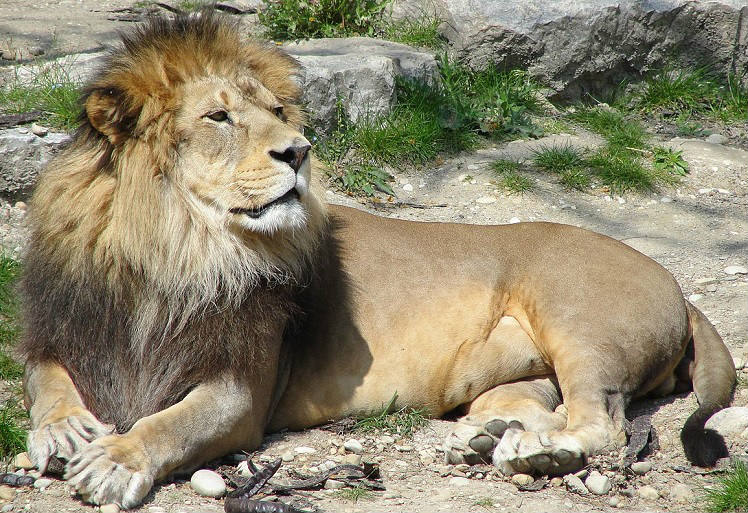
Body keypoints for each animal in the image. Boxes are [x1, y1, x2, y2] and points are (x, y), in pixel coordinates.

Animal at [20, 13, 735, 509]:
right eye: (219, 116)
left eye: (277, 111)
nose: (299, 150)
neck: (172, 252)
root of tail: (676, 285)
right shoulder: (65, 330)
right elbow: (45, 381)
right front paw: (65, 431)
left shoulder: (242, 389)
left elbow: (172, 424)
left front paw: (115, 459)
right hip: (521, 371)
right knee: (537, 406)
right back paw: (489, 439)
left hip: (577, 318)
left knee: (601, 425)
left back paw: (540, 456)